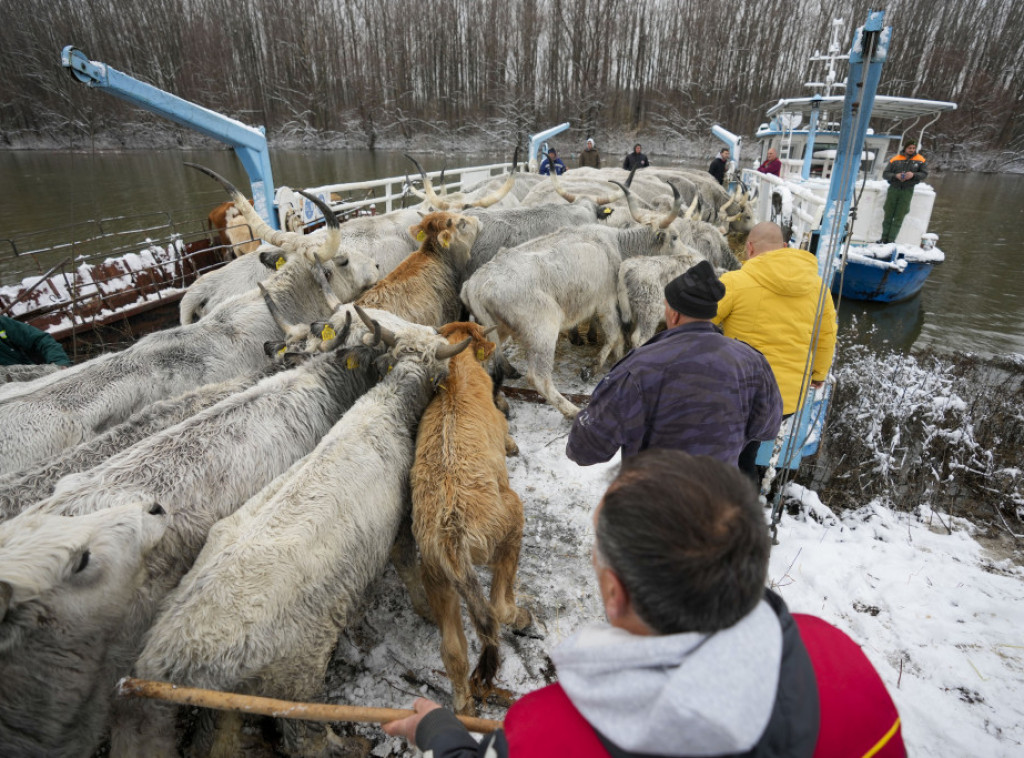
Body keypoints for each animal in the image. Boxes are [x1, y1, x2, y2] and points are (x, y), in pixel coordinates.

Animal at [407, 323, 528, 712]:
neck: (459, 372)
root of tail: (451, 535)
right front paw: (512, 446)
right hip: (510, 521)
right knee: (498, 608)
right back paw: (521, 616)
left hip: (437, 579)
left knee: (453, 651)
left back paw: (464, 707)